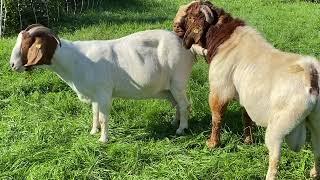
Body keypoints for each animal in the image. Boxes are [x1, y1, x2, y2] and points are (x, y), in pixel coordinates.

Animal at [9, 24, 198, 143]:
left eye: (28, 44)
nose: (12, 65)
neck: (76, 60)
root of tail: (188, 47)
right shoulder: (95, 95)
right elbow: (94, 114)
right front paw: (94, 131)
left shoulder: (104, 93)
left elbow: (103, 117)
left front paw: (103, 140)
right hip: (167, 89)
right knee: (176, 104)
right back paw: (175, 122)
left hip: (178, 81)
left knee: (184, 104)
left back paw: (181, 129)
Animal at [174, 0, 320, 179]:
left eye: (189, 16)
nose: (175, 26)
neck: (224, 37)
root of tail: (310, 73)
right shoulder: (246, 96)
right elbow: (246, 118)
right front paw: (247, 141)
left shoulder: (219, 90)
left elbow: (217, 118)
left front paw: (212, 144)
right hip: (316, 122)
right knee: (317, 150)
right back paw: (314, 173)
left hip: (279, 127)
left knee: (275, 159)